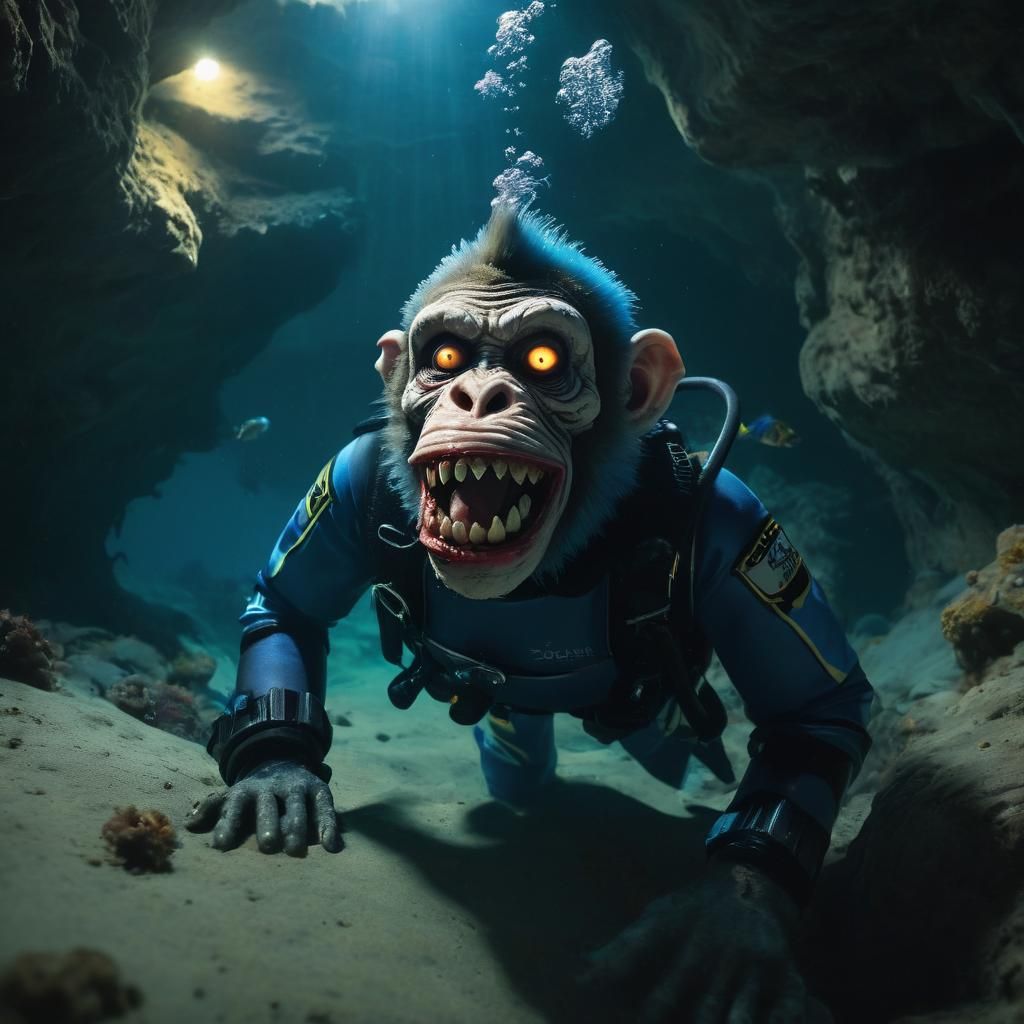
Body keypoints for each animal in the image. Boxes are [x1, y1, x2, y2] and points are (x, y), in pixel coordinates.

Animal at [187, 205, 873, 1023]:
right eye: (446, 356)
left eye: (541, 360)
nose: (478, 397)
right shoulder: (352, 479)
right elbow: (286, 607)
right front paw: (277, 773)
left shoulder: (733, 521)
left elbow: (816, 710)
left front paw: (733, 916)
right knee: (520, 765)